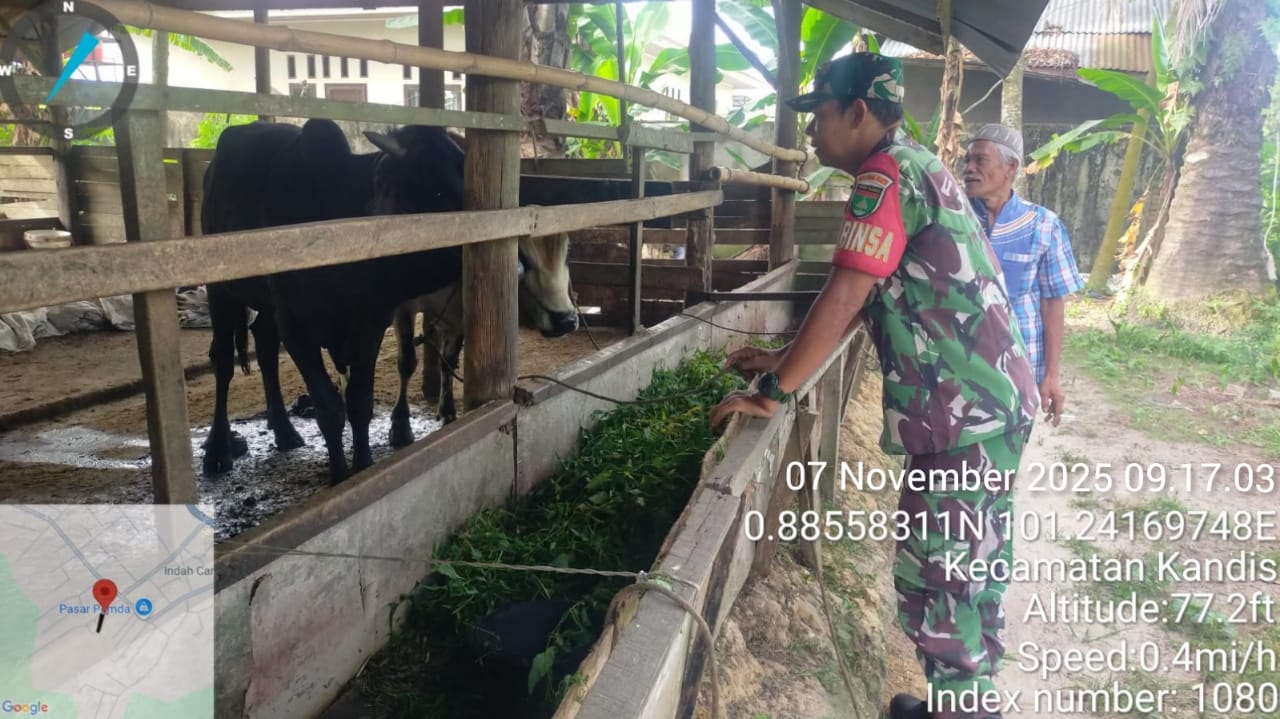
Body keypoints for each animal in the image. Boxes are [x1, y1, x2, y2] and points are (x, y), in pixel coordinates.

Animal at [200, 118, 578, 484]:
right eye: (436, 188)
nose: (516, 266)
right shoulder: (298, 328)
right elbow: (330, 407)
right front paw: (341, 476)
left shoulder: (371, 324)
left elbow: (359, 402)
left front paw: (364, 466)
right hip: (221, 291)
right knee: (223, 361)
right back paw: (218, 450)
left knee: (263, 344)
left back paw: (284, 430)